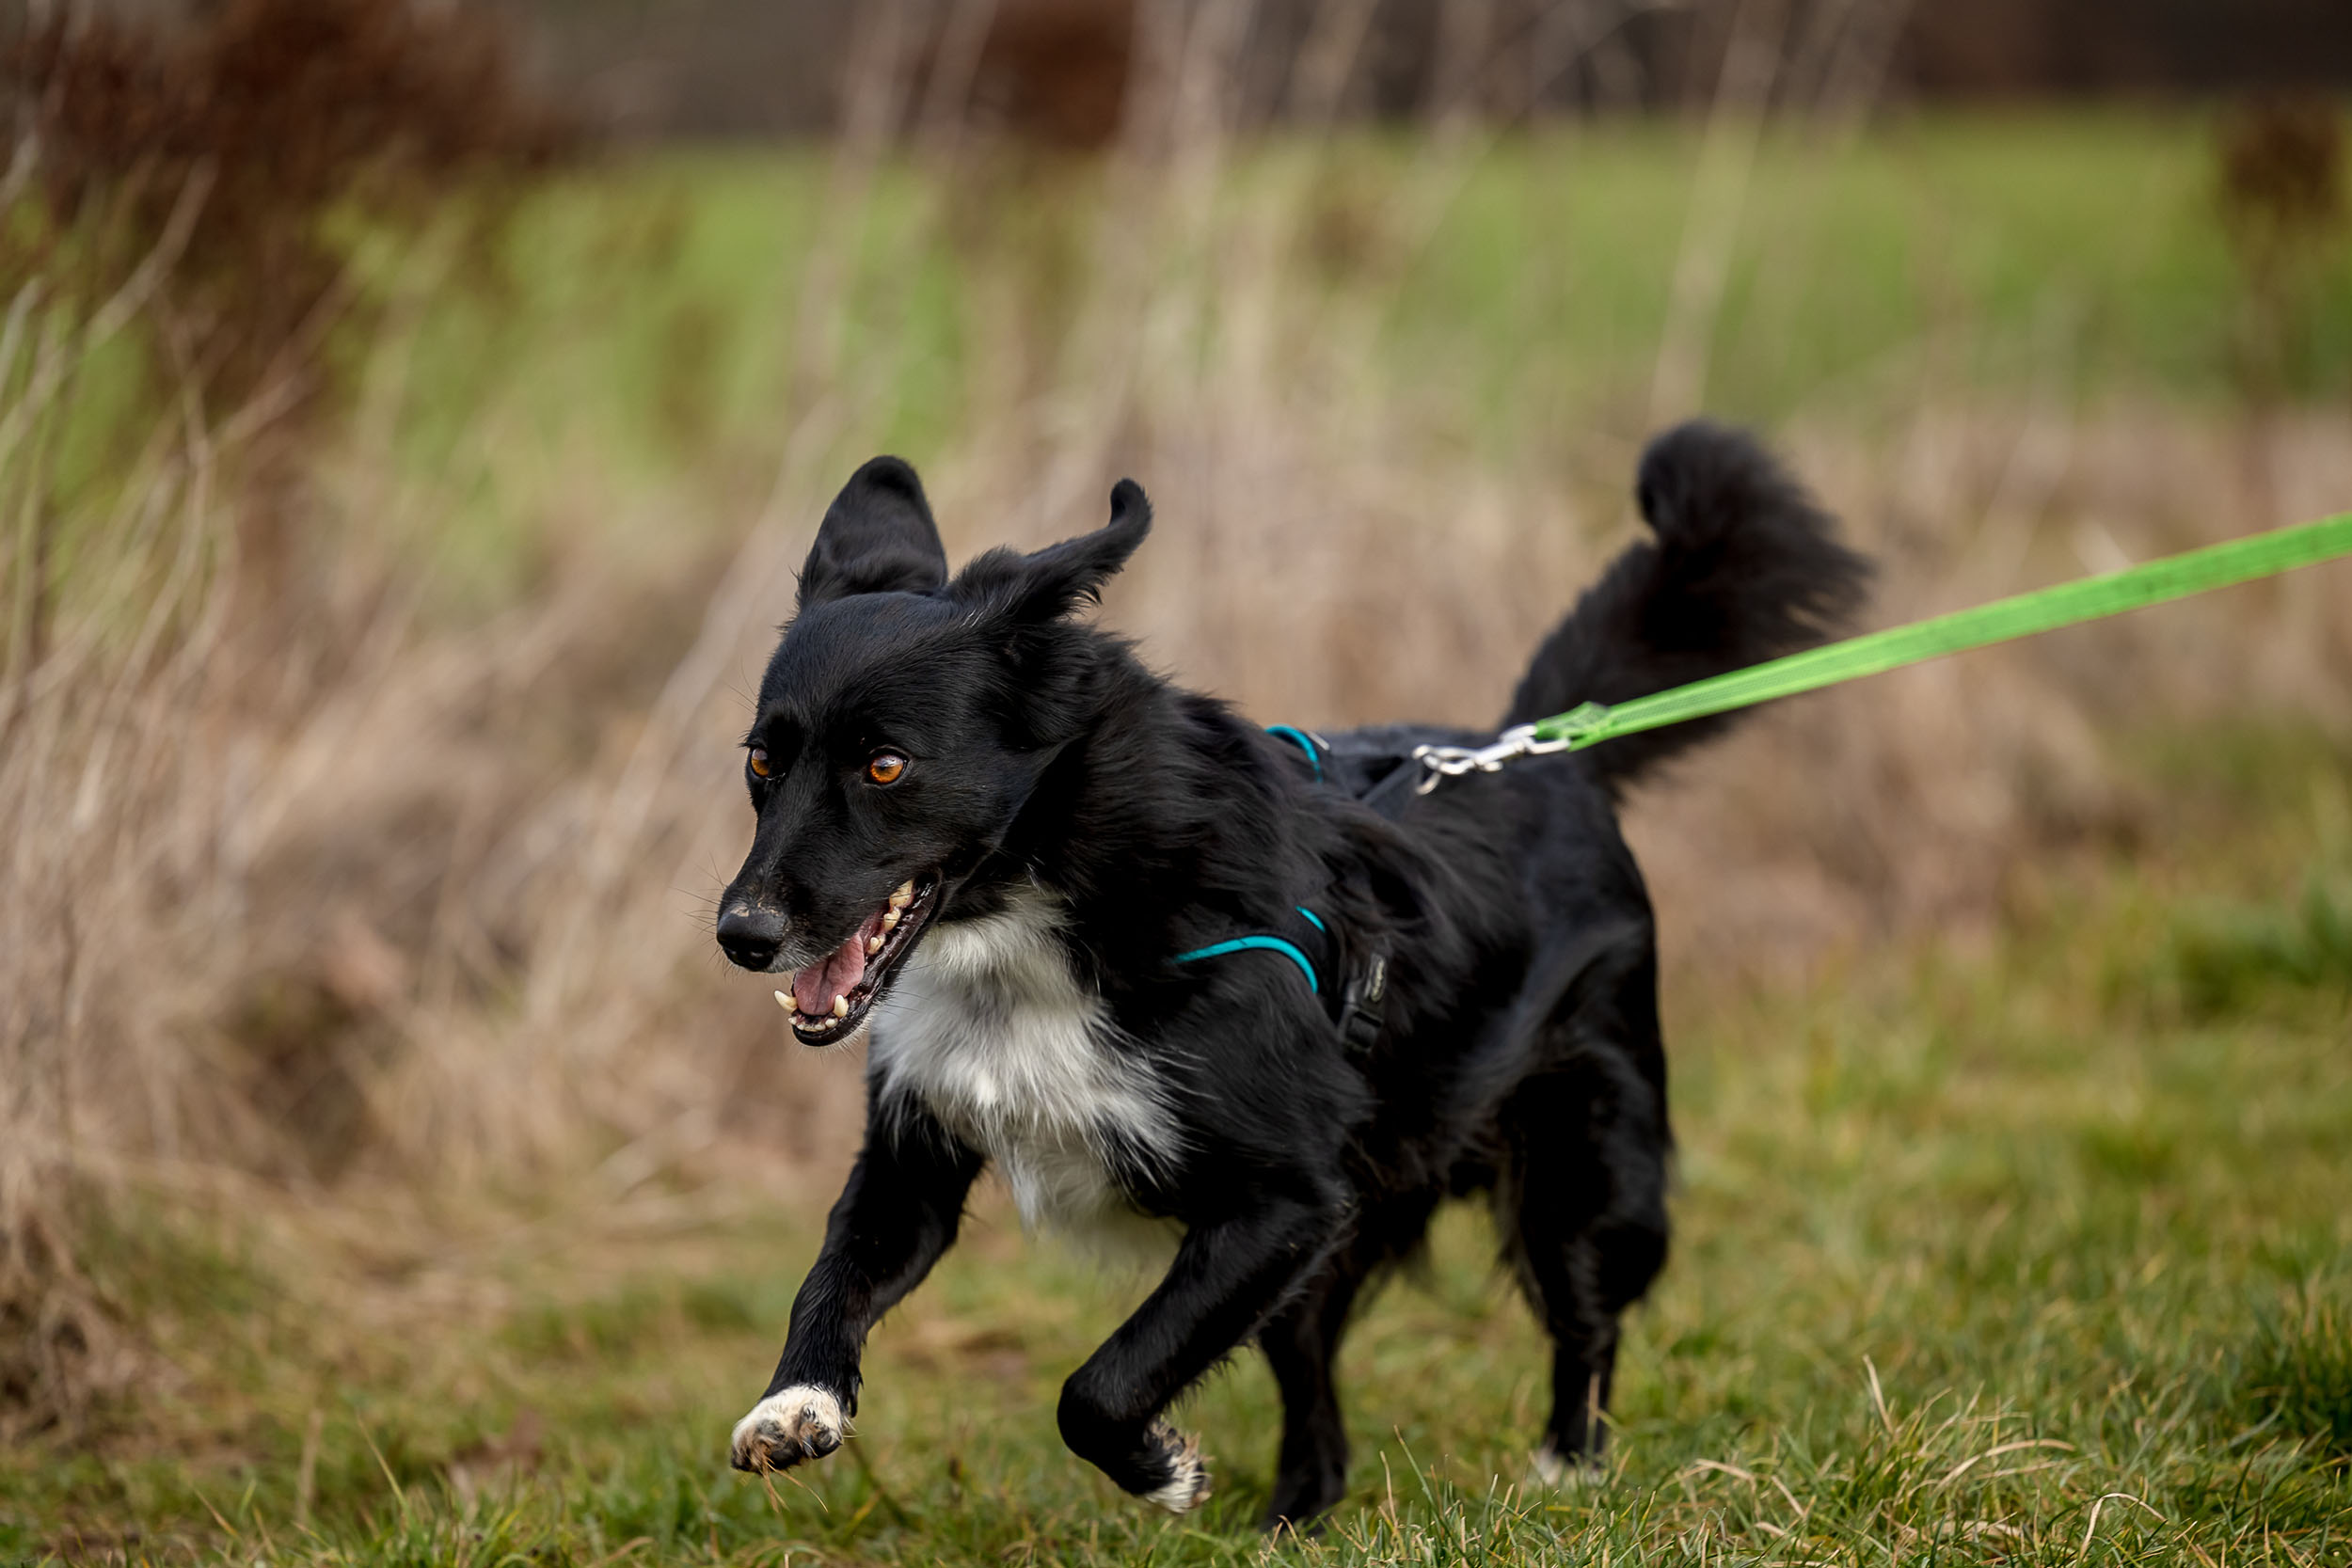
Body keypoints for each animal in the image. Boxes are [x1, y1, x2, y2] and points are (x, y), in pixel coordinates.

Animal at [713, 422, 1868, 1530]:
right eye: (762, 761)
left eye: (886, 765)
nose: (741, 934)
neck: (1047, 909)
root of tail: (1543, 749)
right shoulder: (920, 1148)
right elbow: (838, 1267)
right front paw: (794, 1404)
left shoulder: (1287, 1196)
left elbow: (1100, 1384)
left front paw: (1161, 1470)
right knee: (1316, 1391)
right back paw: (1295, 1517)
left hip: (1580, 1158)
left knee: (1584, 1318)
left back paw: (1568, 1472)